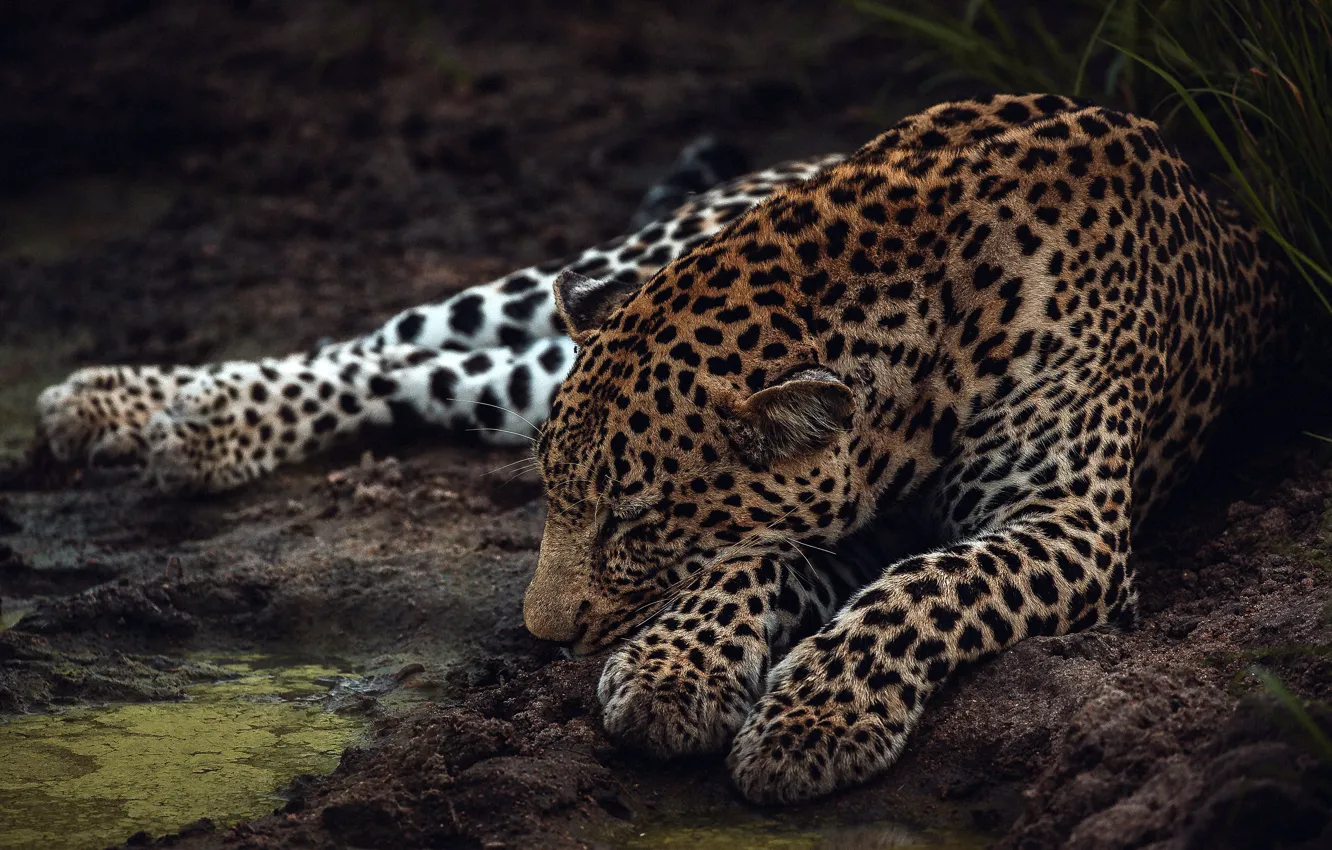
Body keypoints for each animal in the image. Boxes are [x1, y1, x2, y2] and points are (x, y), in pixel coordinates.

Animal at [33, 94, 1289, 804]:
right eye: (555, 503)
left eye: (636, 520)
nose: (541, 637)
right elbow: (754, 558)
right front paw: (679, 671)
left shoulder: (1065, 522)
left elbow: (922, 585)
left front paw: (813, 716)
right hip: (603, 270)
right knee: (392, 339)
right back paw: (132, 407)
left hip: (540, 357)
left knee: (420, 377)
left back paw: (170, 426)